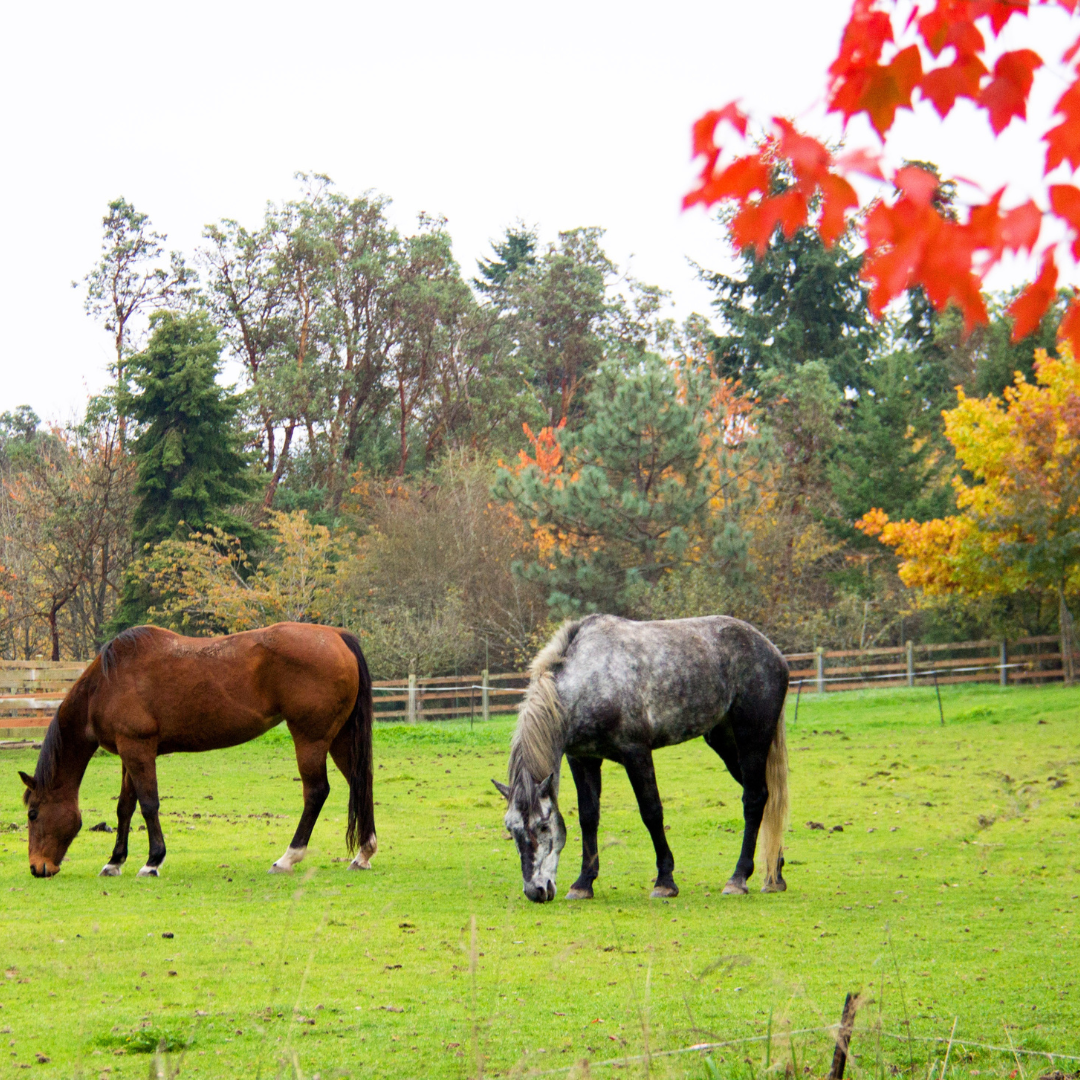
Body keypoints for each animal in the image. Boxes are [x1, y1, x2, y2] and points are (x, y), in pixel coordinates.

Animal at [19, 626, 378, 876]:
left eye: (33, 813)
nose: (37, 868)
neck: (106, 684)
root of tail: (336, 636)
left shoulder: (138, 748)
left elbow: (148, 804)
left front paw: (152, 861)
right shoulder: (128, 753)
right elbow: (125, 807)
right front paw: (114, 861)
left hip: (310, 739)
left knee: (316, 792)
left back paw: (287, 858)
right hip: (340, 739)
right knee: (361, 784)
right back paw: (363, 854)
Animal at [494, 617, 790, 902]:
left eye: (543, 825)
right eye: (511, 828)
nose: (536, 891)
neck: (591, 678)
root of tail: (772, 651)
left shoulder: (636, 753)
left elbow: (651, 812)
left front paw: (665, 882)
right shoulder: (582, 759)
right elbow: (588, 817)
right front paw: (583, 884)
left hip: (752, 737)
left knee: (754, 799)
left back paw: (738, 878)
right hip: (724, 741)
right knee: (765, 796)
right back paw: (774, 873)